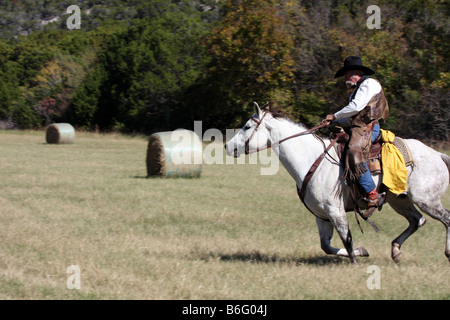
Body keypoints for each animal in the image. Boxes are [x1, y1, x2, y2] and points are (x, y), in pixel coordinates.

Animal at [225, 103, 450, 264]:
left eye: (247, 126)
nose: (228, 146)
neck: (311, 158)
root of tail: (437, 154)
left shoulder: (335, 210)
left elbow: (347, 241)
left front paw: (356, 262)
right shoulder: (322, 215)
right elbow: (327, 245)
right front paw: (363, 251)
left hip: (426, 200)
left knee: (445, 218)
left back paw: (446, 252)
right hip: (400, 200)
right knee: (417, 221)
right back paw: (395, 250)